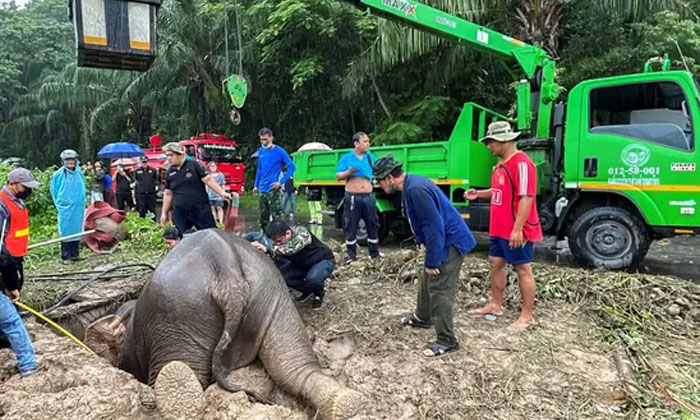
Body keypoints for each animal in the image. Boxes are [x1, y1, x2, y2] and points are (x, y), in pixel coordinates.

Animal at [85, 230, 364, 420]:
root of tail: (224, 266)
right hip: (273, 296)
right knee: (292, 366)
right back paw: (347, 403)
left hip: (178, 315)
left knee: (180, 371)